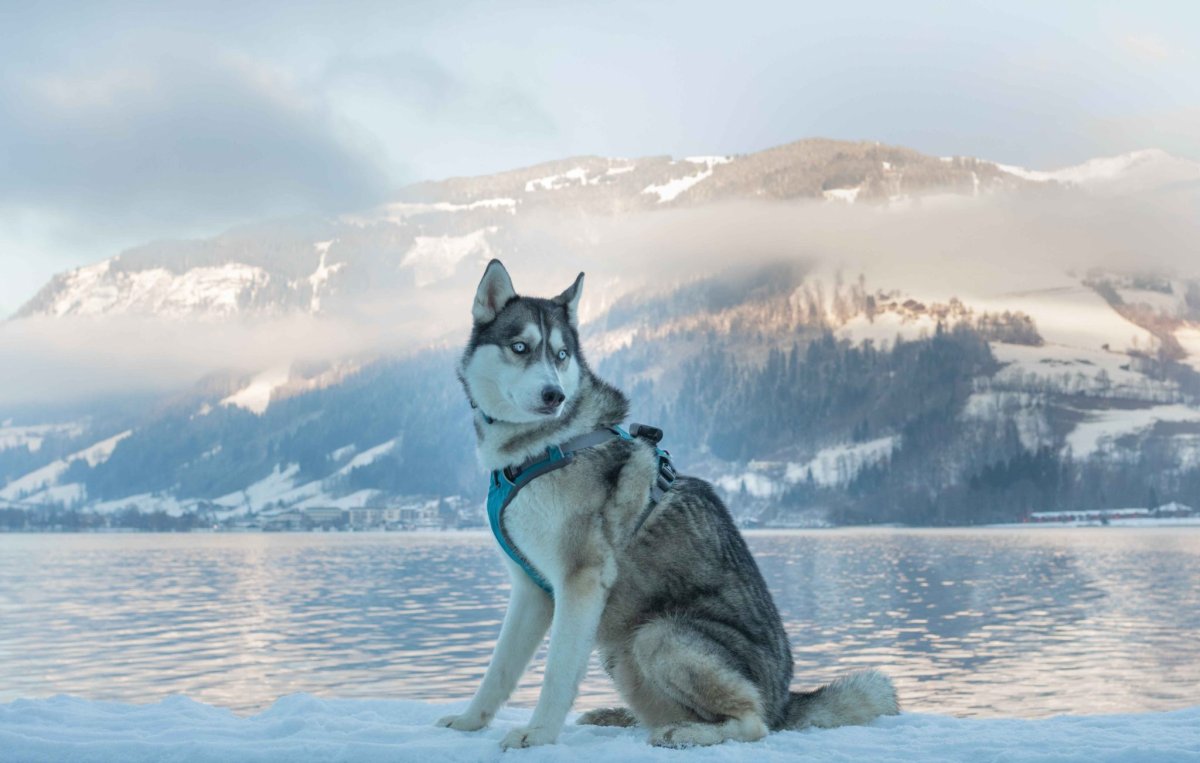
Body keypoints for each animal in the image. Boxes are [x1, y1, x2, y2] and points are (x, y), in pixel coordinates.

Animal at [438, 259, 898, 749]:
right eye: (520, 347)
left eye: (561, 355)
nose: (554, 395)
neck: (543, 448)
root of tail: (785, 699)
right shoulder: (532, 589)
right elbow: (499, 670)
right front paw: (469, 721)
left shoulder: (580, 580)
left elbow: (557, 672)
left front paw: (540, 733)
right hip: (620, 653)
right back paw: (623, 717)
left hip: (657, 635)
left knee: (752, 722)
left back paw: (686, 732)